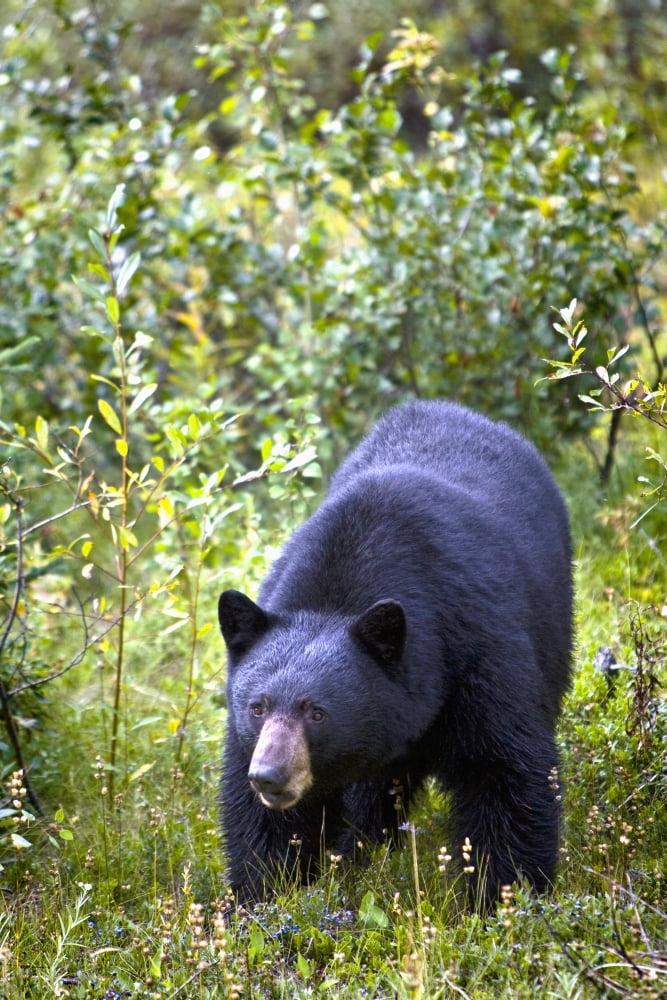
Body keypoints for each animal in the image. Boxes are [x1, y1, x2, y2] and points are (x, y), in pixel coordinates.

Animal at [217, 400, 573, 905]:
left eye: (317, 712)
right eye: (257, 707)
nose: (269, 775)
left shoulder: (475, 650)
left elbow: (504, 771)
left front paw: (502, 897)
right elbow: (265, 825)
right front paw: (261, 897)